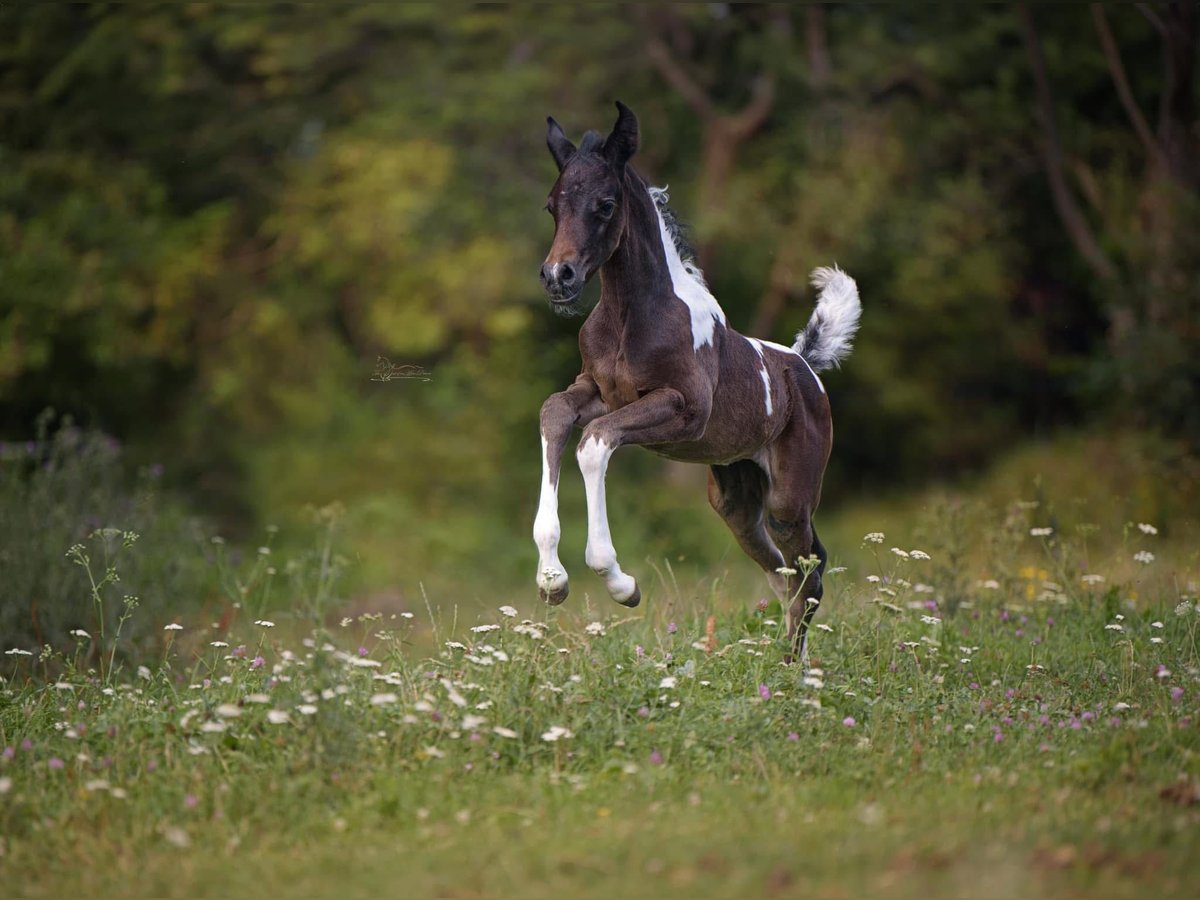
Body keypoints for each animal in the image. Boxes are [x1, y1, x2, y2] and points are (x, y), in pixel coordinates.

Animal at [530, 102, 859, 662]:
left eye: (605, 203)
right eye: (553, 205)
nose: (559, 277)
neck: (630, 315)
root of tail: (804, 364)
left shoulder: (684, 408)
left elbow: (594, 444)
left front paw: (620, 582)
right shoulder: (599, 393)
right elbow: (555, 414)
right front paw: (552, 579)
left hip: (789, 500)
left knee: (810, 569)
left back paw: (794, 668)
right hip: (735, 501)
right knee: (782, 573)